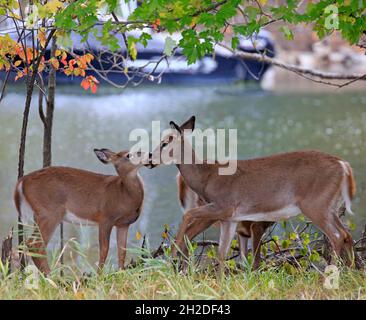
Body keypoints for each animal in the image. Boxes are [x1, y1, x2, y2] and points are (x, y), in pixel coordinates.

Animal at [14, 149, 146, 274]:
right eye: (128, 155)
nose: (149, 155)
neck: (124, 194)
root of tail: (22, 181)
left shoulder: (123, 224)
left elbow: (122, 250)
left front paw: (120, 273)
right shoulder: (105, 218)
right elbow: (104, 249)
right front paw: (100, 276)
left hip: (39, 215)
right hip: (49, 213)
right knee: (35, 244)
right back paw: (51, 277)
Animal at [147, 116, 358, 266]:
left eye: (165, 142)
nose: (148, 158)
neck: (206, 177)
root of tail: (343, 165)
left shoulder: (225, 206)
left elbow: (188, 215)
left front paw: (171, 255)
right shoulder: (231, 218)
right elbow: (224, 254)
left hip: (315, 204)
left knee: (336, 236)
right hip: (330, 205)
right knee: (346, 234)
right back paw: (349, 272)